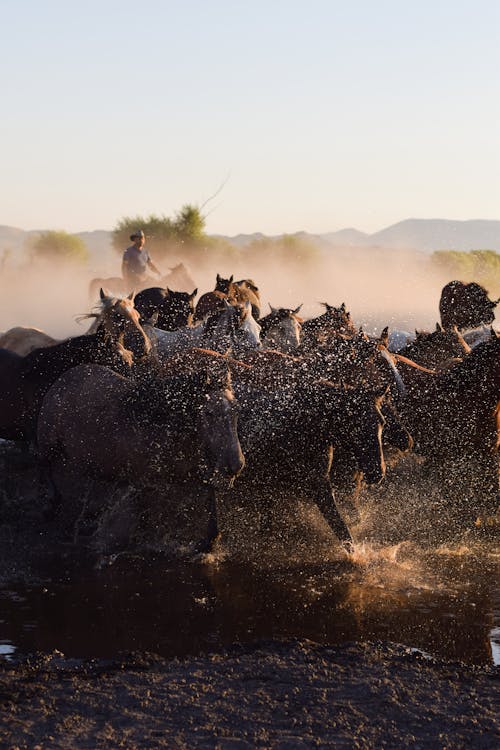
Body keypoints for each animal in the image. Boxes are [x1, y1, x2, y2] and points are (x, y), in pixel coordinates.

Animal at [37, 364, 244, 552]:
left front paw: (210, 542)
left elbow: (210, 498)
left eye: (236, 410)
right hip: (49, 444)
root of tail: (66, 376)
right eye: (209, 412)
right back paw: (51, 506)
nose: (235, 464)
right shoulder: (143, 481)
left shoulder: (190, 472)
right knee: (44, 466)